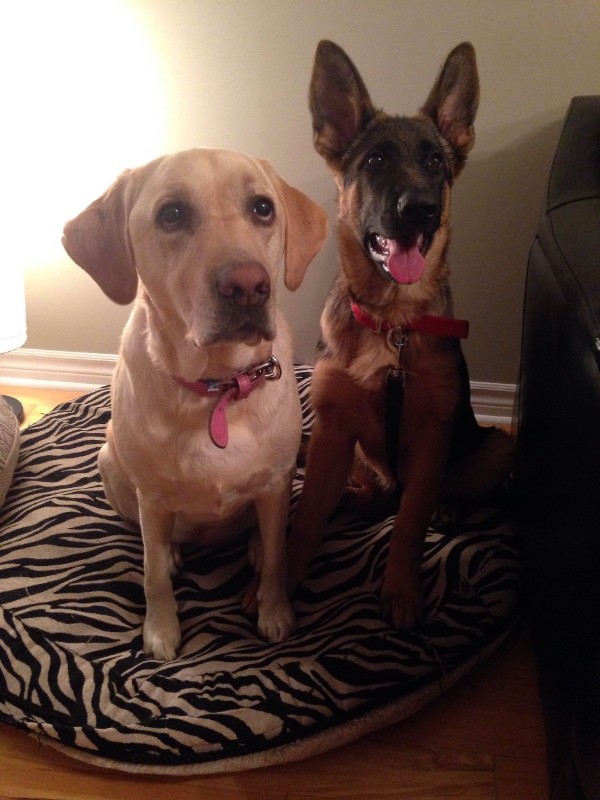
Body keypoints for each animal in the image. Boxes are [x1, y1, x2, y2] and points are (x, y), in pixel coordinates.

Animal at [62, 148, 328, 659]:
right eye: (172, 214)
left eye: (263, 208)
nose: (248, 286)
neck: (217, 385)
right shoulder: (152, 496)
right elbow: (151, 574)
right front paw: (161, 629)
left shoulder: (275, 480)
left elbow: (276, 559)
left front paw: (274, 611)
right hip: (109, 461)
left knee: (264, 536)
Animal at [286, 40, 514, 630]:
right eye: (375, 161)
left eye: (435, 162)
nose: (421, 210)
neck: (392, 328)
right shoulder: (334, 429)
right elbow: (308, 515)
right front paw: (276, 586)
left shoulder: (433, 434)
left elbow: (409, 525)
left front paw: (402, 591)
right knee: (350, 492)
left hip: (495, 449)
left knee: (431, 495)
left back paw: (445, 507)